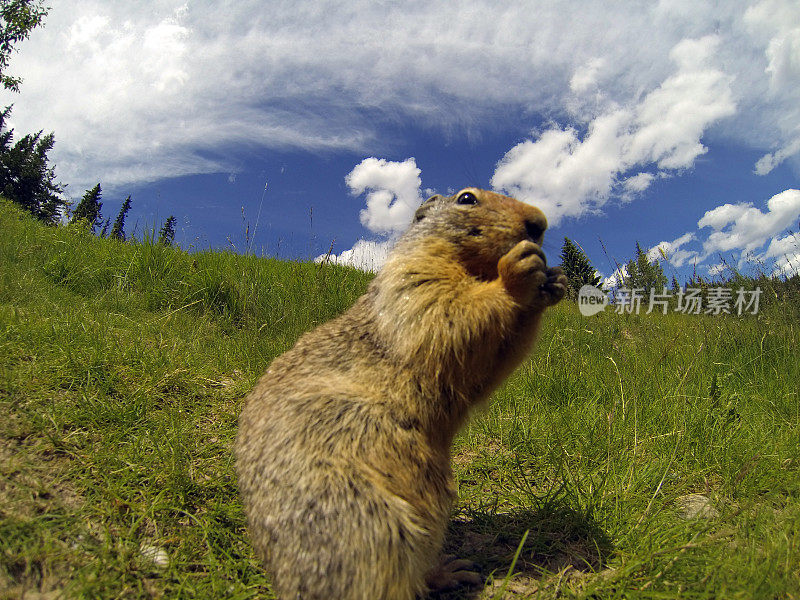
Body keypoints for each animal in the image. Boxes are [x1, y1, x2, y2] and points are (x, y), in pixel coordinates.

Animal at [238, 189, 568, 600]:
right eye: (467, 198)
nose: (539, 222)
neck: (475, 270)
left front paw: (556, 280)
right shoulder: (411, 278)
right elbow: (445, 314)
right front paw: (518, 272)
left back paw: (450, 571)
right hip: (366, 521)